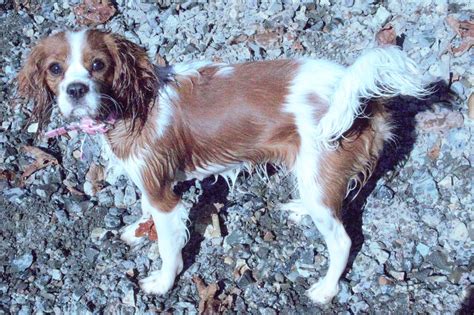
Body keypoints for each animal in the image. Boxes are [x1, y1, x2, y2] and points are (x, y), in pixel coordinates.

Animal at [17, 30, 426, 306]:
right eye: (55, 69)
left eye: (98, 65)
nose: (75, 89)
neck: (132, 104)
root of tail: (358, 92)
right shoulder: (149, 179)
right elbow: (146, 208)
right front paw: (139, 229)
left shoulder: (166, 195)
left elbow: (168, 244)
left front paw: (163, 282)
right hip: (316, 175)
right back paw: (299, 209)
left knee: (342, 240)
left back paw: (326, 290)